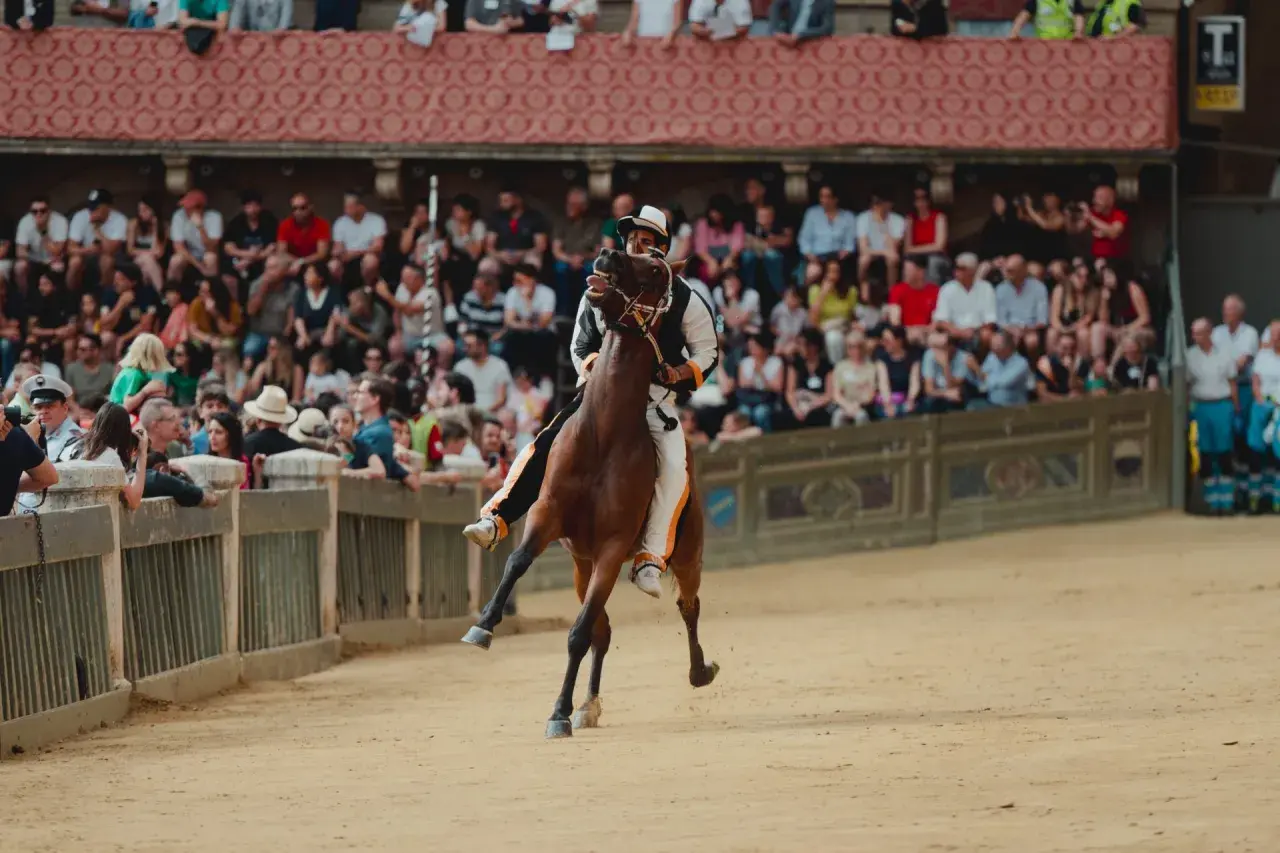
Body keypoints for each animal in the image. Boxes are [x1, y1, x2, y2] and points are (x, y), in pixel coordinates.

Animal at [460, 247, 719, 739]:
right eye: (629, 250)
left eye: (654, 270)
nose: (607, 254)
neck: (603, 433)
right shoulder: (547, 515)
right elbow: (518, 562)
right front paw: (483, 625)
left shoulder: (613, 548)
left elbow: (578, 634)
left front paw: (558, 712)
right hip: (581, 565)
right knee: (605, 632)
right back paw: (589, 705)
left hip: (685, 552)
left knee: (689, 606)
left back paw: (700, 670)